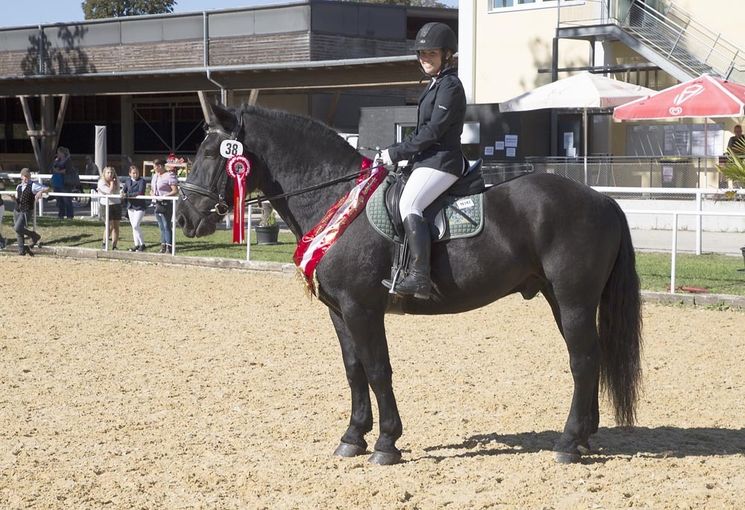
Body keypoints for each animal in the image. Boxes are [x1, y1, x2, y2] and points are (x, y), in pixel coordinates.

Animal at [177, 104, 644, 466]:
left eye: (210, 152)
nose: (185, 218)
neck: (334, 197)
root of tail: (600, 198)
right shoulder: (340, 311)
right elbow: (353, 369)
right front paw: (352, 437)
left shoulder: (362, 308)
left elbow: (378, 369)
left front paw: (386, 443)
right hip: (560, 299)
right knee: (590, 359)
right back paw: (583, 438)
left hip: (574, 300)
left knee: (582, 361)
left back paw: (567, 443)